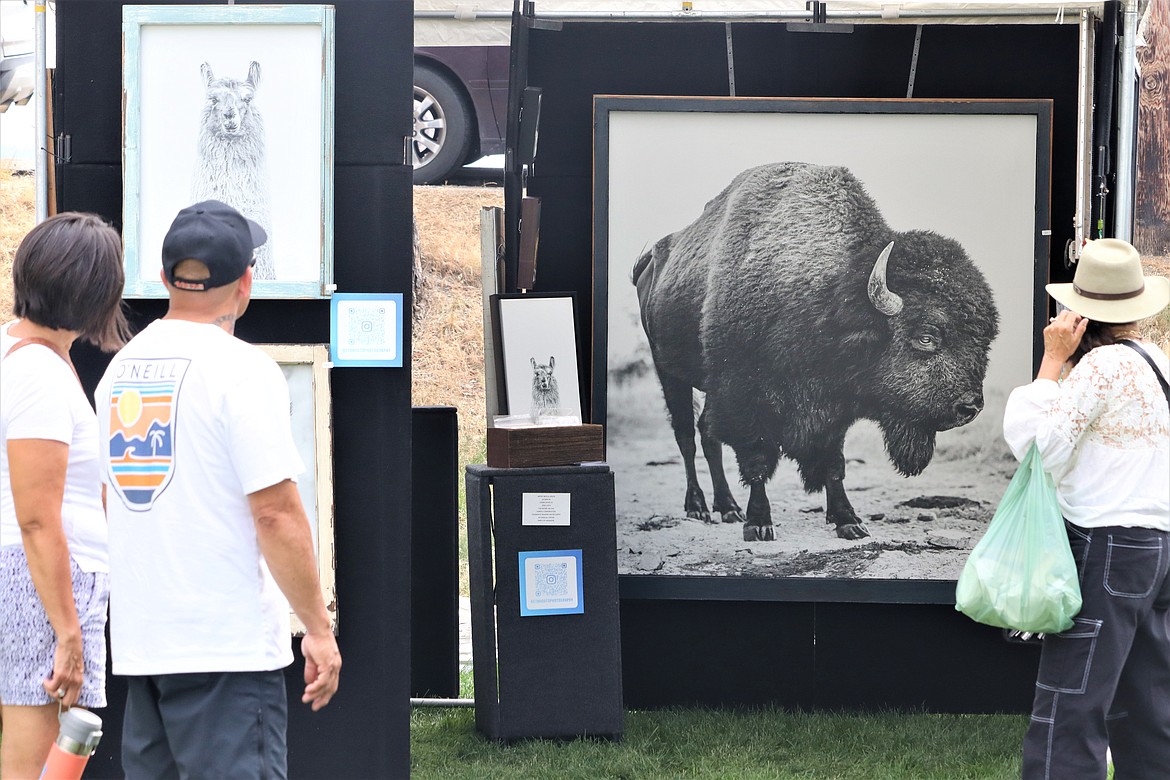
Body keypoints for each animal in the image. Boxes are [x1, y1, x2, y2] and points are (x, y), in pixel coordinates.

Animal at [636, 163, 1001, 542]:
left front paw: (848, 521)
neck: (827, 299)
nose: (970, 407)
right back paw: (699, 507)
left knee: (707, 434)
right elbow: (756, 458)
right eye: (927, 337)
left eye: (984, 341)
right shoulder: (742, 396)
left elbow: (833, 464)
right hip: (669, 371)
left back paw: (728, 508)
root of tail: (649, 263)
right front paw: (759, 524)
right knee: (687, 437)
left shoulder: (831, 408)